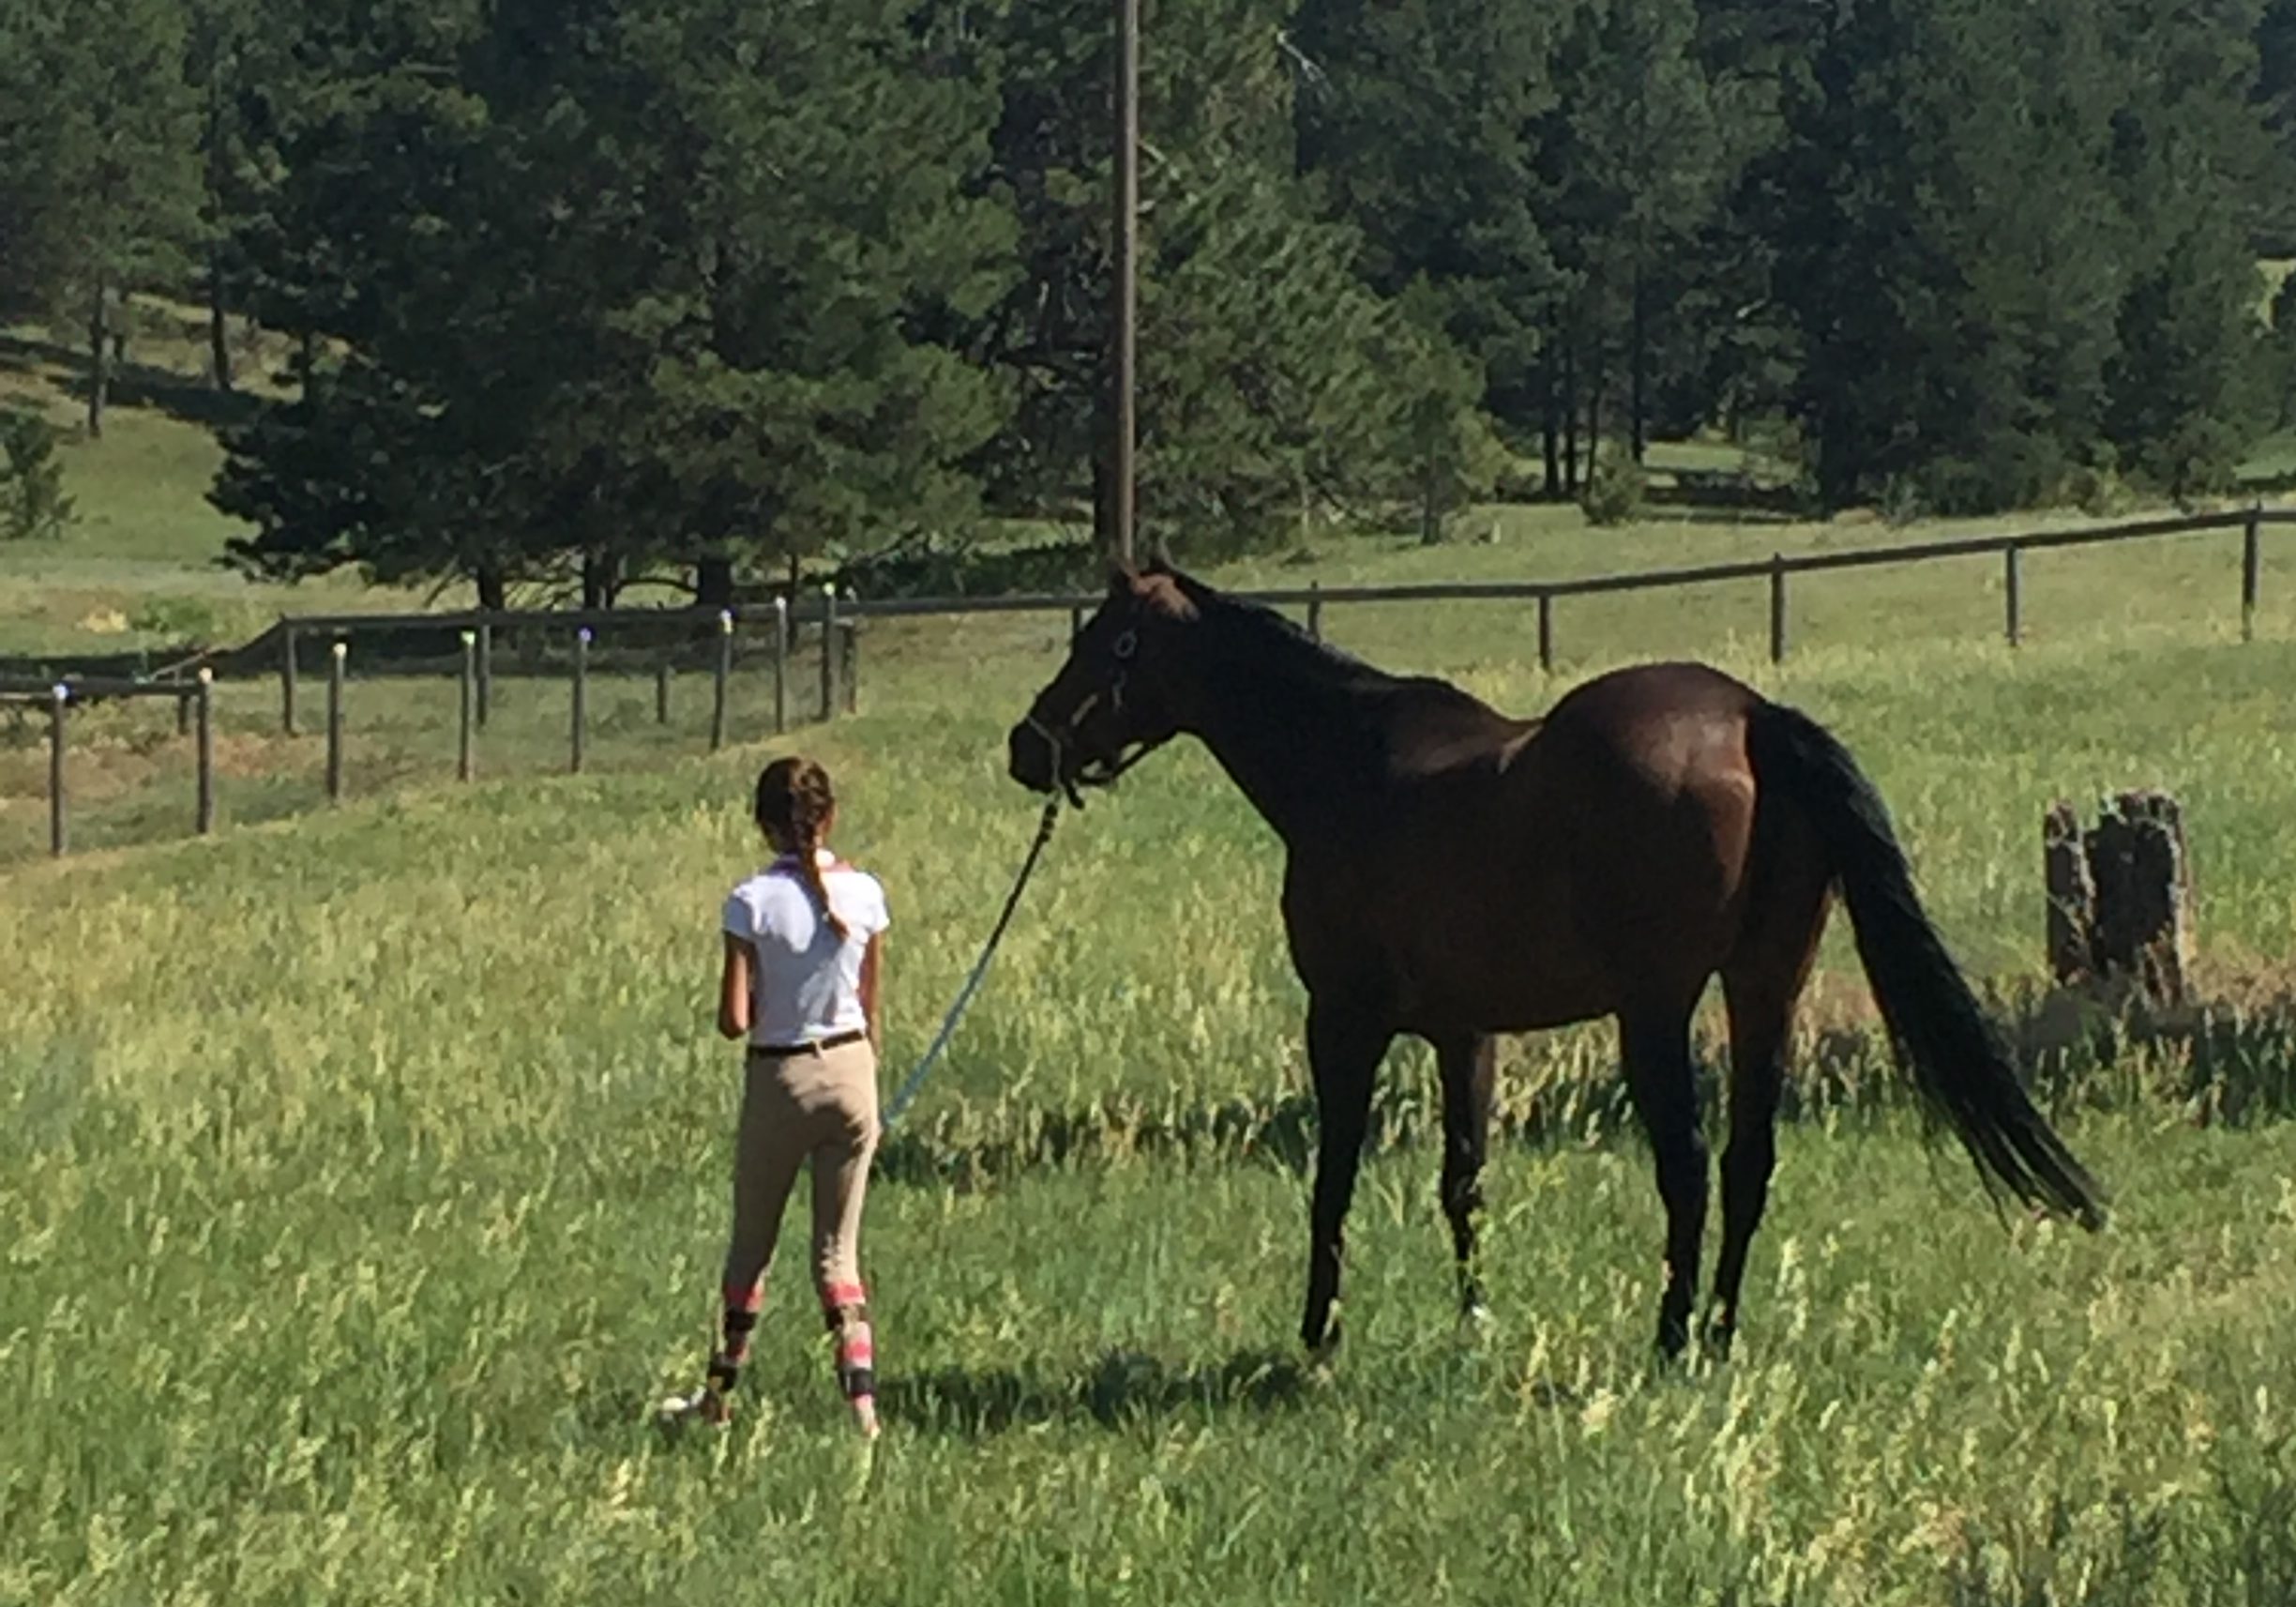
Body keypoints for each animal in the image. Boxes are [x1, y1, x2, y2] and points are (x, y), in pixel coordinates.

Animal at [1015, 564, 2103, 1358]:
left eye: (1103, 643)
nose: (1027, 746)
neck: (1349, 766)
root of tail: (1750, 716)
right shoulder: (1465, 1032)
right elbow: (1463, 1181)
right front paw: (1475, 1319)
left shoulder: (1344, 1019)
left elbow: (1333, 1177)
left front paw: (1319, 1332)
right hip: (1766, 988)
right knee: (1747, 1160)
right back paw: (1720, 1329)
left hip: (1657, 1011)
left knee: (1688, 1167)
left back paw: (1671, 1337)